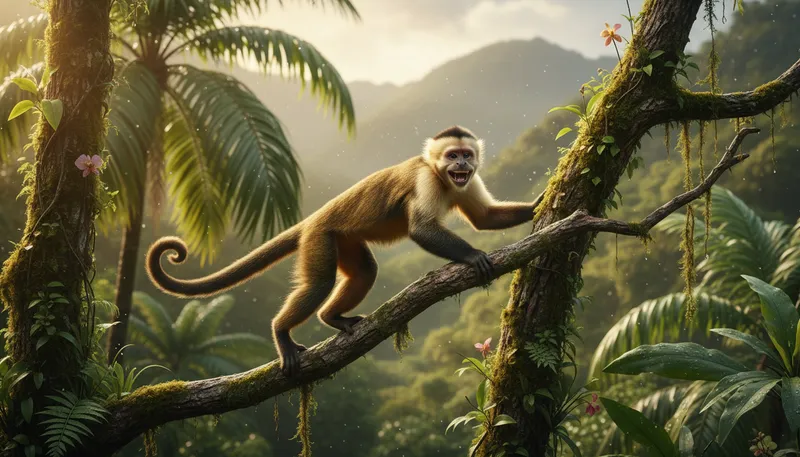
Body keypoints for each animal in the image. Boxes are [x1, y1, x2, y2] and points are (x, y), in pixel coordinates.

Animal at [146, 126, 540, 376]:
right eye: (452, 155)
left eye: (467, 155)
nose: (462, 165)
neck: (443, 179)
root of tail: (315, 218)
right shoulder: (425, 179)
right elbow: (422, 229)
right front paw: (472, 256)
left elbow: (484, 219)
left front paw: (539, 206)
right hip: (319, 238)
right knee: (319, 283)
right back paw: (282, 333)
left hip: (343, 238)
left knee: (365, 271)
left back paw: (332, 318)